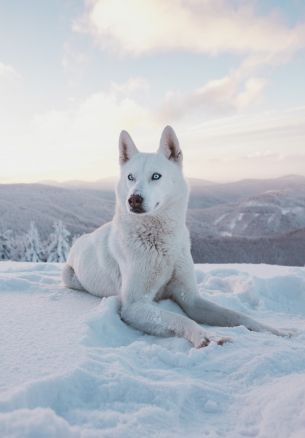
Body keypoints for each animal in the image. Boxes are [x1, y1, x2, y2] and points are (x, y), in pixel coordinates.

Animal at [63, 126, 286, 350]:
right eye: (130, 177)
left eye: (156, 176)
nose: (133, 199)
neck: (160, 243)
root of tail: (81, 240)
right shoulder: (135, 305)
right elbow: (181, 319)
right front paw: (207, 336)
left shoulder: (191, 299)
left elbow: (236, 315)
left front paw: (276, 331)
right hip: (69, 277)